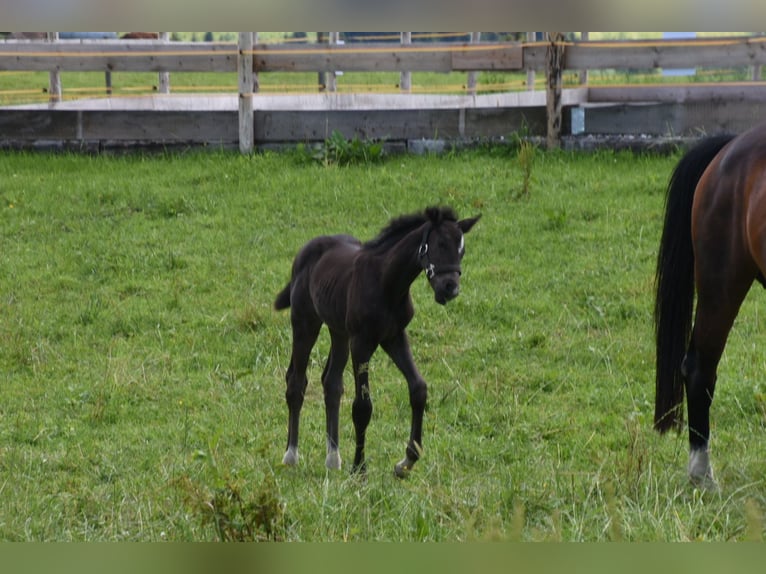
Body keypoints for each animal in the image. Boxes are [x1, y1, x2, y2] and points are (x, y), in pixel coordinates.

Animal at [276, 209, 480, 480]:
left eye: (462, 250)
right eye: (439, 244)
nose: (450, 288)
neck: (387, 282)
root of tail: (304, 251)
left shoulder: (394, 337)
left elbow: (418, 389)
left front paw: (406, 461)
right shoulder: (361, 342)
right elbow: (362, 407)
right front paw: (359, 468)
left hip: (339, 331)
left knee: (331, 382)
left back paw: (333, 457)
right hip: (305, 322)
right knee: (296, 381)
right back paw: (291, 455)